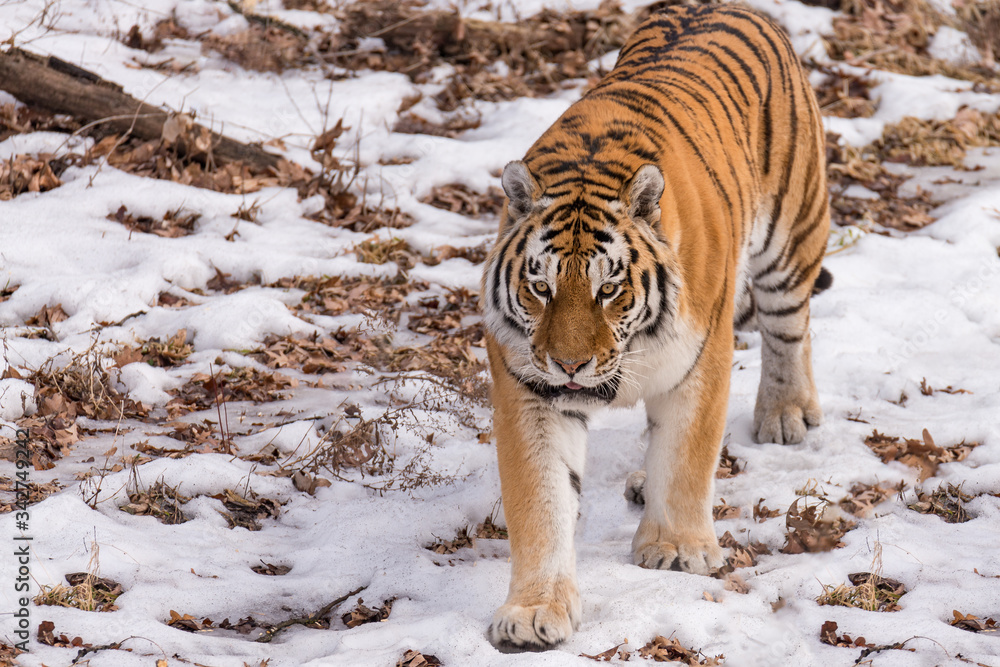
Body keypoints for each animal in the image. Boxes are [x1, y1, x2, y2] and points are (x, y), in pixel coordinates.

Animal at [480, 3, 831, 650]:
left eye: (608, 289)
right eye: (541, 289)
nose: (570, 365)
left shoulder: (702, 357)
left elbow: (687, 454)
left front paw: (675, 550)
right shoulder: (528, 388)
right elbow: (541, 499)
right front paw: (533, 611)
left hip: (793, 233)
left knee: (789, 326)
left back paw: (785, 413)